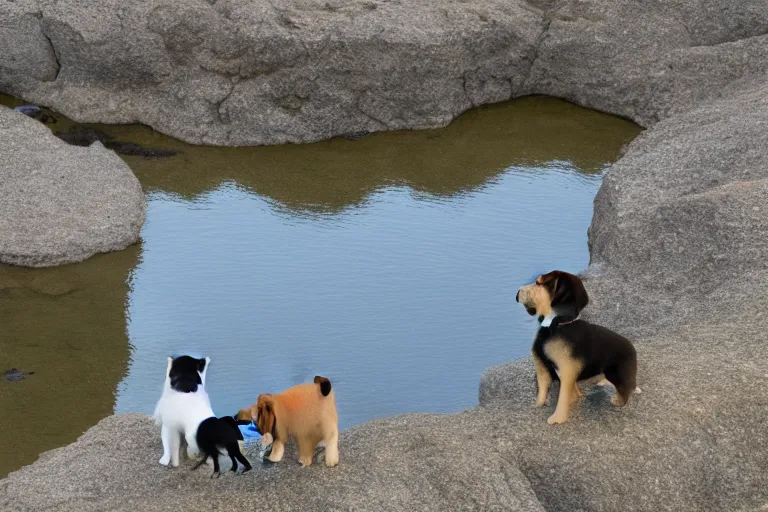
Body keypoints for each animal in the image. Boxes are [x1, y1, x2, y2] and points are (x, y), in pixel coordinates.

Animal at [520, 272, 640, 424]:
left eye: (538, 282)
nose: (518, 292)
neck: (557, 325)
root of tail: (633, 351)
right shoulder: (543, 367)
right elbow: (543, 389)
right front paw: (539, 405)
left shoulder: (566, 371)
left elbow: (563, 397)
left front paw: (558, 418)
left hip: (616, 373)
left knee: (626, 390)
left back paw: (618, 399)